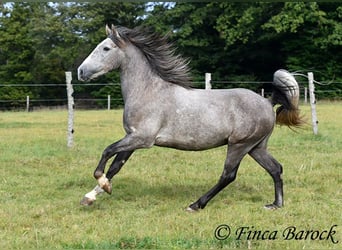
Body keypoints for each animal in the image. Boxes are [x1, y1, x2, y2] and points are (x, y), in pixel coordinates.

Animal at [77, 24, 302, 211]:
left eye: (106, 48)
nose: (80, 71)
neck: (148, 91)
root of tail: (267, 102)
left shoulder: (142, 139)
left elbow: (107, 152)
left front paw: (101, 184)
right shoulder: (132, 138)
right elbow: (115, 166)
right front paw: (90, 196)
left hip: (239, 145)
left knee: (228, 175)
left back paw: (196, 205)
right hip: (256, 147)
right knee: (275, 168)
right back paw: (275, 204)